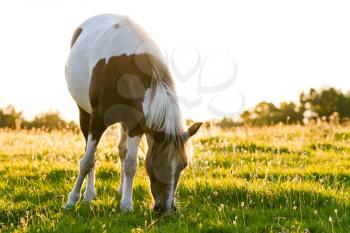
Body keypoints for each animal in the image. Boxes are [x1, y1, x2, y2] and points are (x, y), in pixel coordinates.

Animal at [64, 13, 204, 213]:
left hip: (124, 122)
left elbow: (130, 164)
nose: (166, 209)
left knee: (122, 153)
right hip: (84, 113)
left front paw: (126, 204)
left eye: (183, 165)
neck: (122, 67)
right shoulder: (97, 120)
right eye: (157, 161)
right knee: (90, 155)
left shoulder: (136, 124)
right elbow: (87, 161)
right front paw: (72, 200)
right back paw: (88, 195)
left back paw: (121, 190)